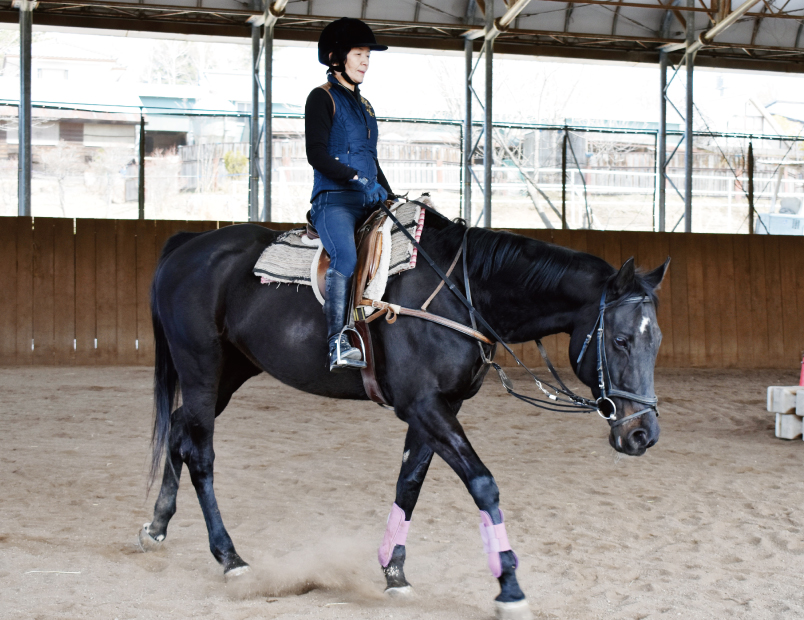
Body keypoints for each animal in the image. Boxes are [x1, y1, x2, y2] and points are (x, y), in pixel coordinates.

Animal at [137, 209, 664, 620]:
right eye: (620, 340)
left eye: (655, 339)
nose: (643, 434)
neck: (461, 293)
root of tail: (187, 245)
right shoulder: (424, 404)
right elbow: (483, 483)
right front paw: (509, 586)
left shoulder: (438, 406)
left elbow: (409, 482)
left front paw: (394, 571)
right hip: (202, 369)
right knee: (201, 452)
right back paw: (230, 557)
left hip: (231, 371)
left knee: (181, 430)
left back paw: (157, 526)